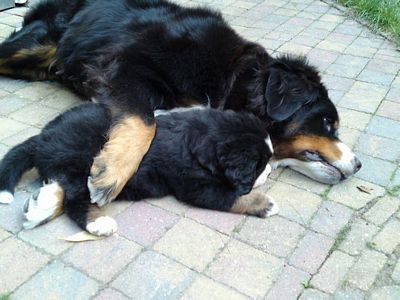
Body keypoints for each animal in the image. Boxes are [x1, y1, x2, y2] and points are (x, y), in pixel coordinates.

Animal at [0, 0, 362, 206]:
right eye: (328, 123)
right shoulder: (124, 64)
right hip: (35, 44)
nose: (359, 165)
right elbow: (144, 121)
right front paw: (111, 174)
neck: (231, 75)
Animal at [0, 105, 276, 237]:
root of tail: (44, 136)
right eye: (259, 166)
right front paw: (265, 204)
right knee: (75, 199)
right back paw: (97, 223)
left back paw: (41, 205)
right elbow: (233, 196)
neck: (200, 139)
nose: (270, 172)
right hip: (88, 164)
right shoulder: (195, 185)